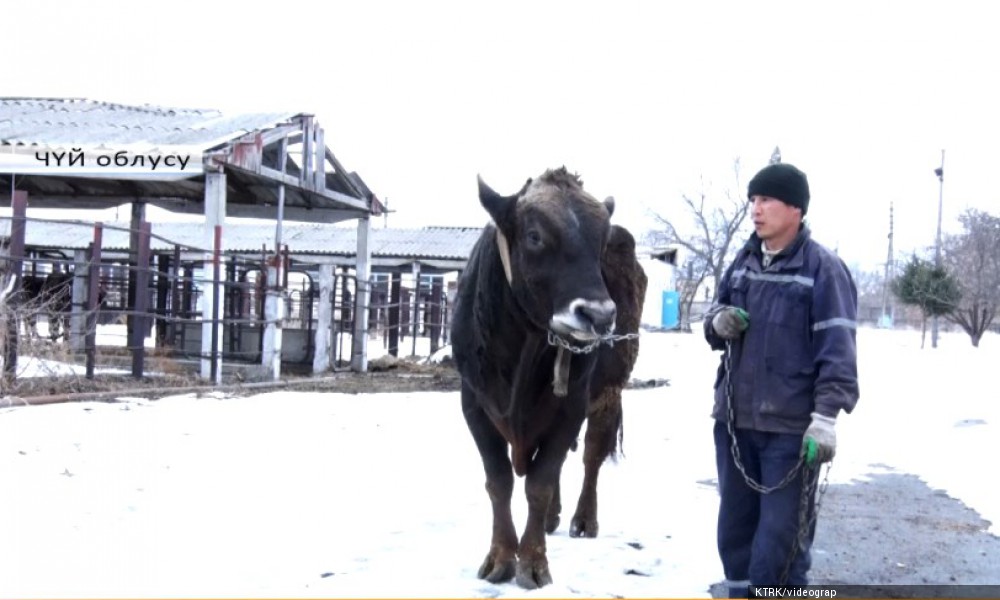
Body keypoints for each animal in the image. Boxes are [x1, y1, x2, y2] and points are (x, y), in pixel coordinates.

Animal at [450, 166, 644, 588]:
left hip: (609, 393)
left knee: (591, 456)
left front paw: (533, 562)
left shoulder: (571, 406)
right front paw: (500, 557)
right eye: (535, 235)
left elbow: (538, 483)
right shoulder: (474, 403)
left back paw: (583, 519)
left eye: (601, 241)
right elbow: (500, 481)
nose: (600, 315)